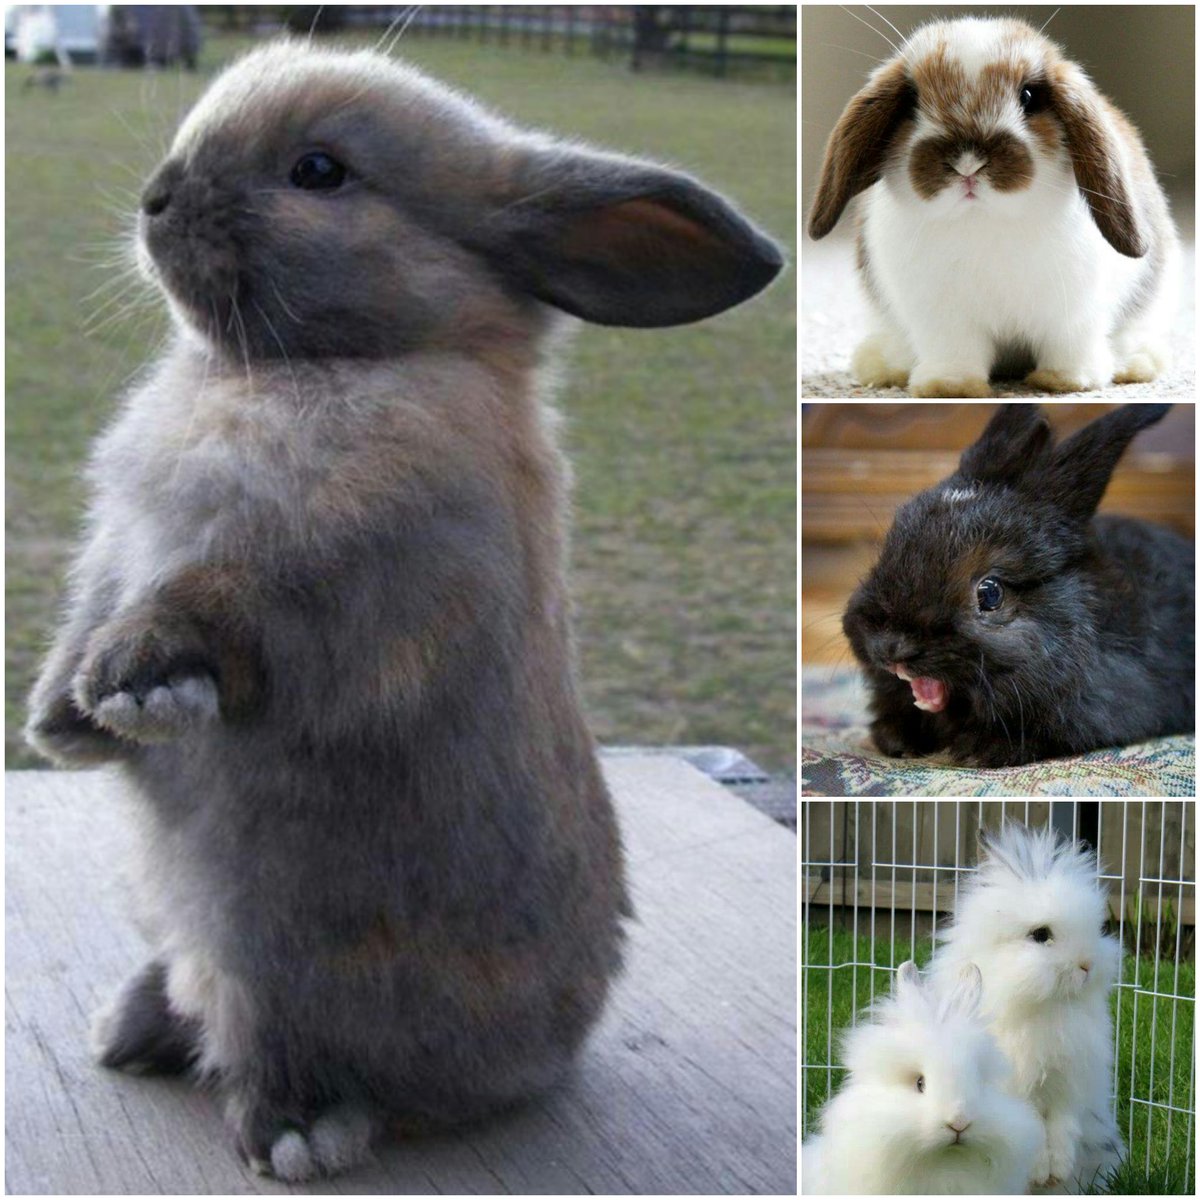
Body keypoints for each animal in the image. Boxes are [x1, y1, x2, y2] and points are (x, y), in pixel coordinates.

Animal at [24, 39, 783, 1182]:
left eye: (320, 172)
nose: (157, 198)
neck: (357, 357)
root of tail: (550, 1052)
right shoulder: (115, 553)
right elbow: (91, 614)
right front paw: (61, 719)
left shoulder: (349, 581)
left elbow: (225, 611)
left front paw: (138, 682)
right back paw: (131, 1029)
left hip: (293, 976)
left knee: (301, 1056)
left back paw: (294, 1127)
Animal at [807, 16, 1180, 398]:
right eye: (911, 101)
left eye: (1029, 96)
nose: (968, 164)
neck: (984, 220)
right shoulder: (942, 319)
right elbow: (954, 352)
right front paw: (950, 387)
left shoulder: (1075, 314)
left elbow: (1068, 346)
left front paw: (1066, 381)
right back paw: (881, 366)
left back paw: (1137, 364)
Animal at [929, 823, 1125, 1191]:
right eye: (1040, 934)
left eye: (1098, 928)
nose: (1087, 965)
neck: (1044, 1009)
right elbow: (1030, 1124)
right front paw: (1038, 1171)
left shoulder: (1071, 1082)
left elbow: (1063, 1124)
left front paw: (1057, 1170)